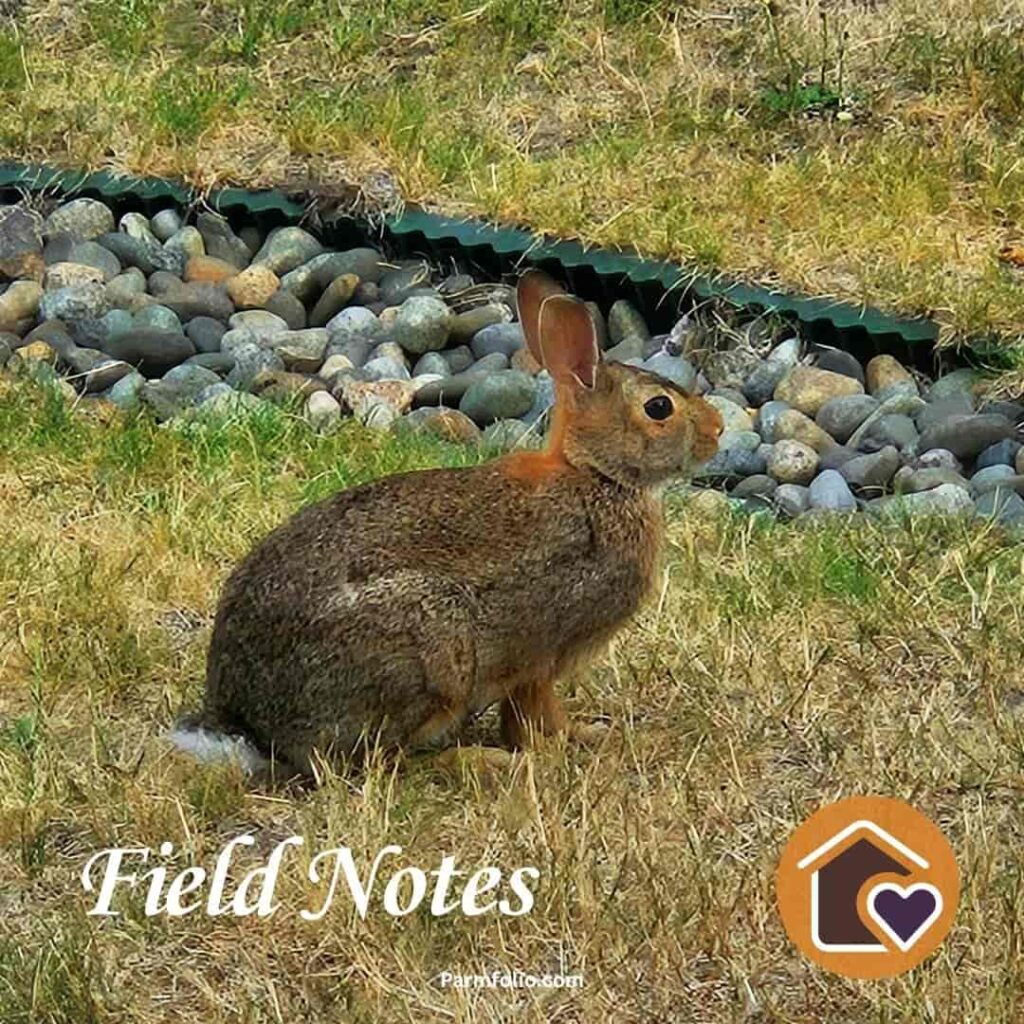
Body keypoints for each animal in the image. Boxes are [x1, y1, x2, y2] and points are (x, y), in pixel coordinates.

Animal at [173, 270, 723, 775]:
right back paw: (477, 760)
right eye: (659, 408)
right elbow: (534, 712)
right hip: (435, 649)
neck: (597, 476)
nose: (717, 430)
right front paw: (567, 745)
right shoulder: (542, 653)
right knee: (382, 761)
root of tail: (247, 723)